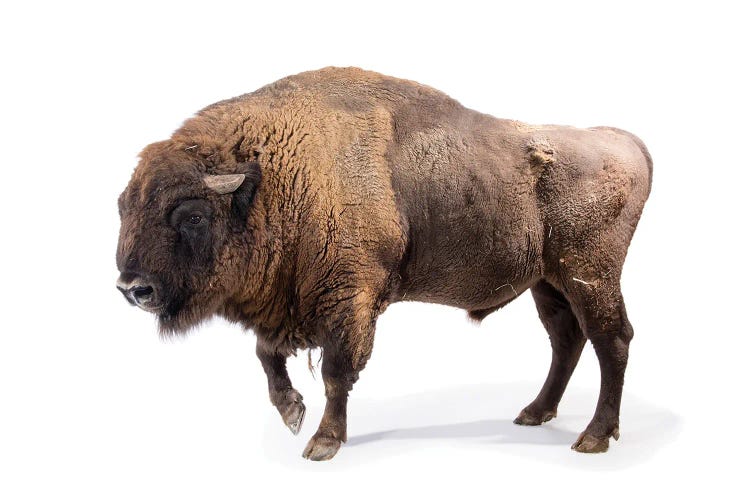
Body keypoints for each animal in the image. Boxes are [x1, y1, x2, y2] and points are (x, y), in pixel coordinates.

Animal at [116, 66, 652, 460]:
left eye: (192, 216)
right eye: (123, 208)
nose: (132, 288)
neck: (274, 177)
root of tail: (629, 143)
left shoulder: (350, 300)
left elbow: (336, 372)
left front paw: (322, 442)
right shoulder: (287, 305)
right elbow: (267, 356)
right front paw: (292, 413)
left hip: (590, 275)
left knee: (612, 340)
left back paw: (594, 437)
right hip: (548, 281)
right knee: (567, 340)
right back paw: (535, 413)